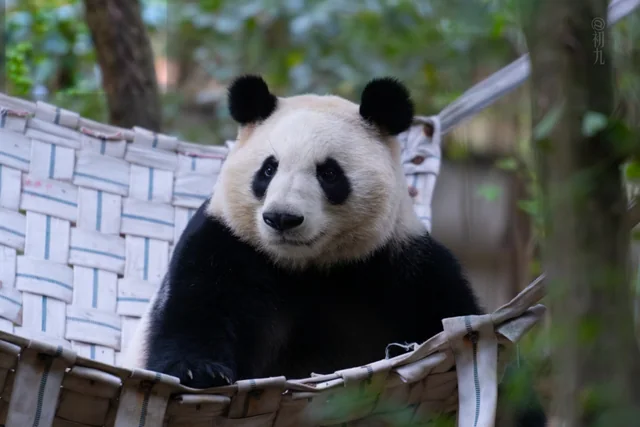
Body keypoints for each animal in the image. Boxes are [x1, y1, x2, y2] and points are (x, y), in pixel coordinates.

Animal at [123, 75, 545, 425]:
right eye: (268, 169)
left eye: (328, 173)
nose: (282, 218)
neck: (307, 266)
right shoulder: (228, 244)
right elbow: (194, 312)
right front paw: (200, 371)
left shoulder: (400, 262)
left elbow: (456, 316)